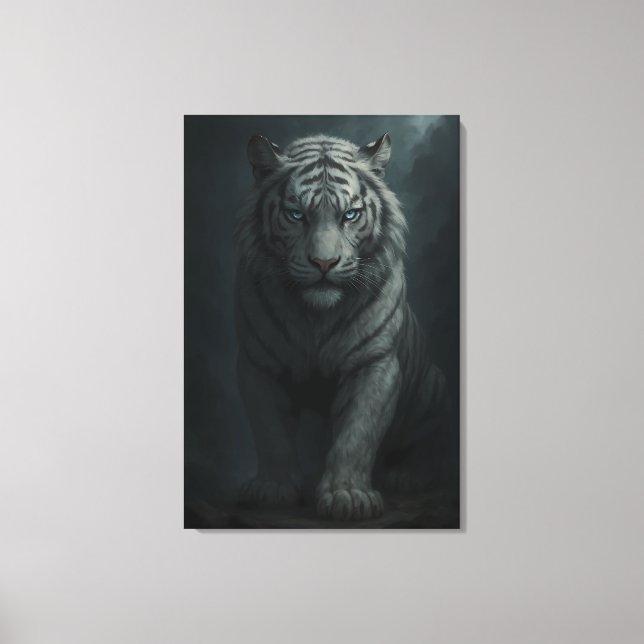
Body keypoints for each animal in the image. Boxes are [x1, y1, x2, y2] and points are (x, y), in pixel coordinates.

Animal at [234, 132, 449, 520]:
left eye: (350, 215)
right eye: (296, 214)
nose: (324, 263)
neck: (316, 317)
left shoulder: (375, 364)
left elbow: (357, 434)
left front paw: (347, 496)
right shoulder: (258, 364)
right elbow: (270, 431)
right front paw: (273, 488)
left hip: (433, 388)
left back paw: (409, 475)